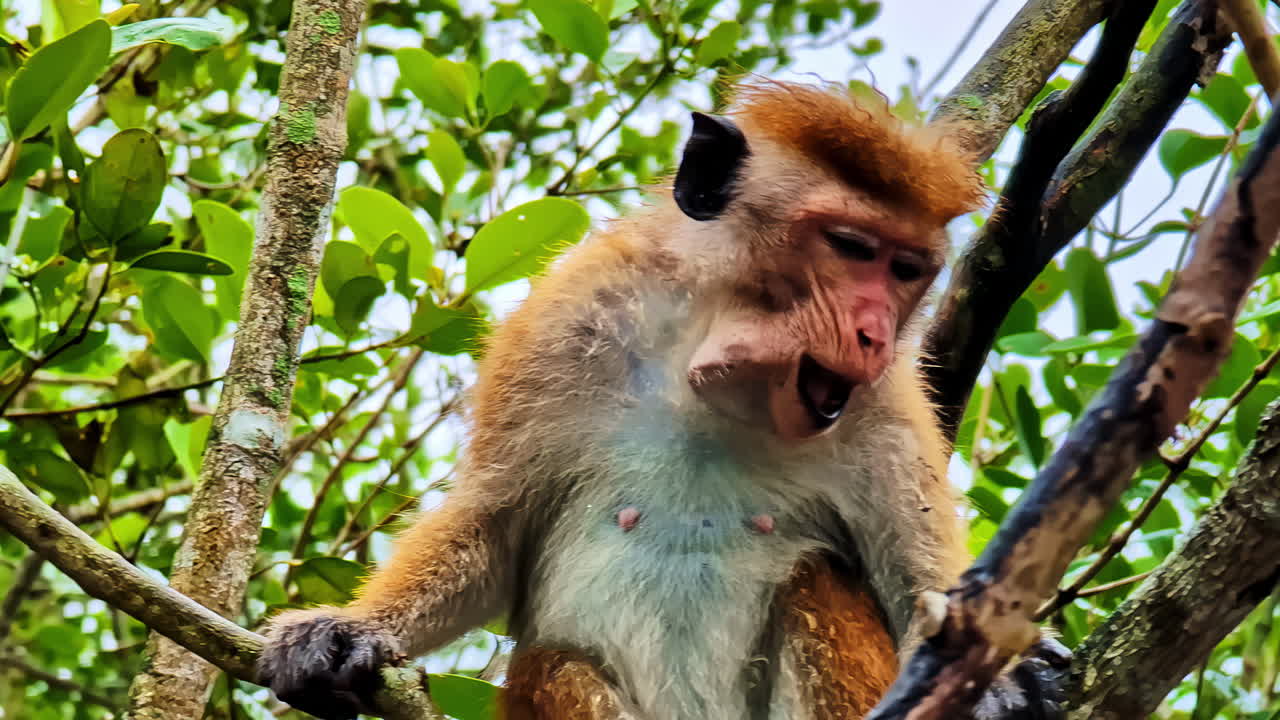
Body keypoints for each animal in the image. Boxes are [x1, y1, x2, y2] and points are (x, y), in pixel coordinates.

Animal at [258, 80, 1068, 720]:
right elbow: (495, 526)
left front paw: (1005, 685)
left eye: (906, 270)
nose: (871, 332)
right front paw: (351, 630)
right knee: (551, 661)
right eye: (850, 247)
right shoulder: (565, 318)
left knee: (816, 580)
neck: (710, 376)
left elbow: (912, 587)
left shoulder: (888, 406)